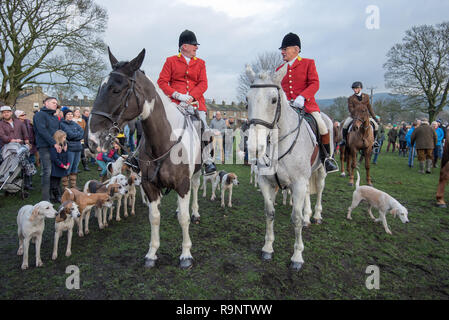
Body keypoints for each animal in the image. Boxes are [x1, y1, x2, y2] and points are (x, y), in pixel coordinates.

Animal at [88, 48, 203, 268]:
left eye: (116, 90)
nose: (91, 138)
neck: (164, 142)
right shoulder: (150, 186)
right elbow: (154, 217)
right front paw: (152, 253)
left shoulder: (183, 184)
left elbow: (184, 219)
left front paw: (186, 254)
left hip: (196, 175)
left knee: (194, 190)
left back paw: (195, 212)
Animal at [243, 63, 330, 272]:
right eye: (247, 100)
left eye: (274, 100)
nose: (254, 148)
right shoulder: (266, 182)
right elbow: (269, 214)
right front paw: (267, 248)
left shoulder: (297, 183)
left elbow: (295, 219)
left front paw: (297, 257)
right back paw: (308, 217)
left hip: (320, 171)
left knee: (319, 190)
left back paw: (316, 215)